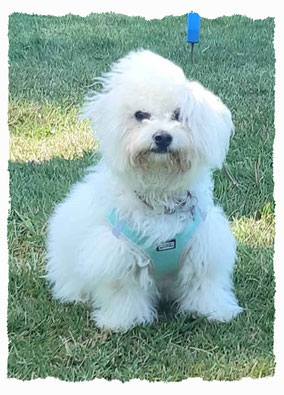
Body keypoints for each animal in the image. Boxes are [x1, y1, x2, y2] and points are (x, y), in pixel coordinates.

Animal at [46, 50, 242, 334]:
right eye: (140, 115)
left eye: (178, 114)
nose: (162, 137)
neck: (159, 195)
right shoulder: (116, 255)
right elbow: (123, 290)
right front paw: (123, 321)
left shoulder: (204, 244)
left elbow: (205, 283)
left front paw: (215, 311)